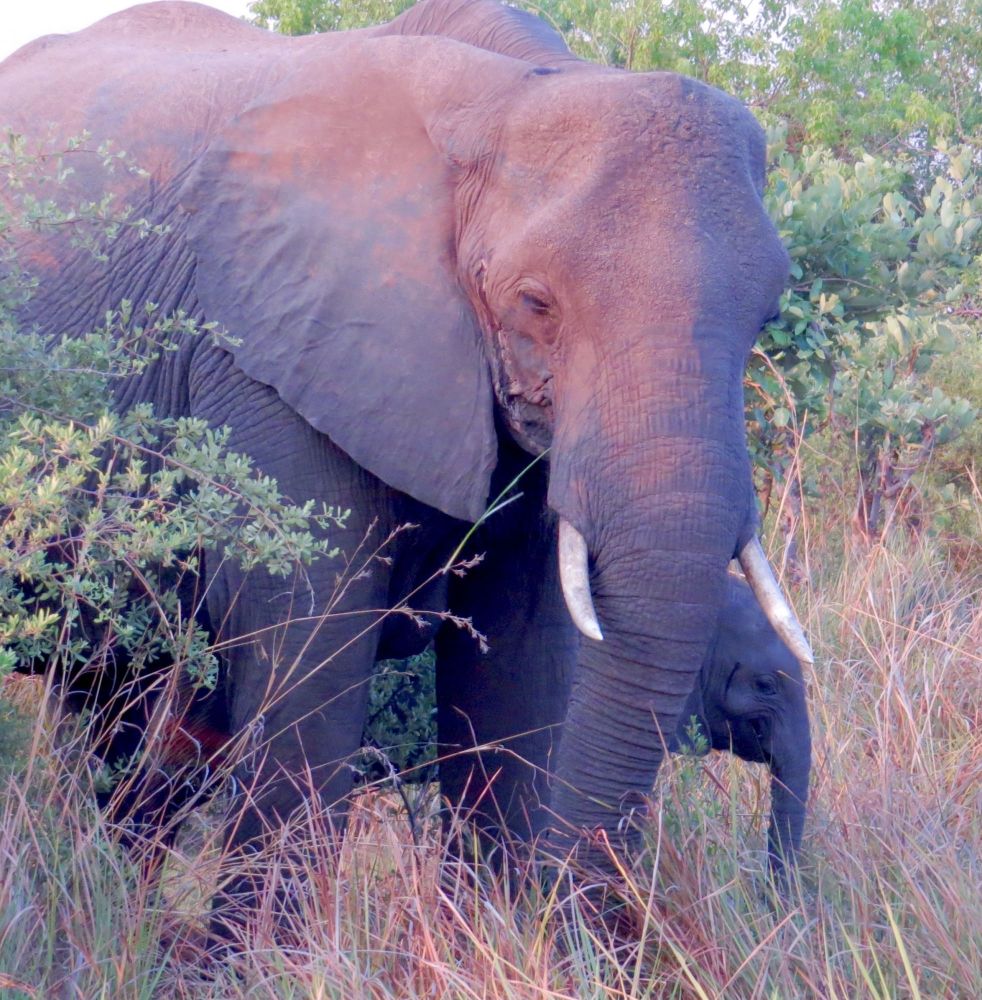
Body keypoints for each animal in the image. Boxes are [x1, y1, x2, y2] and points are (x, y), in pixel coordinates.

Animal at [0, 0, 813, 904]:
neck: (510, 95)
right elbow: (312, 670)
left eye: (766, 315)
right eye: (534, 302)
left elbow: (521, 677)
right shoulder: (266, 354)